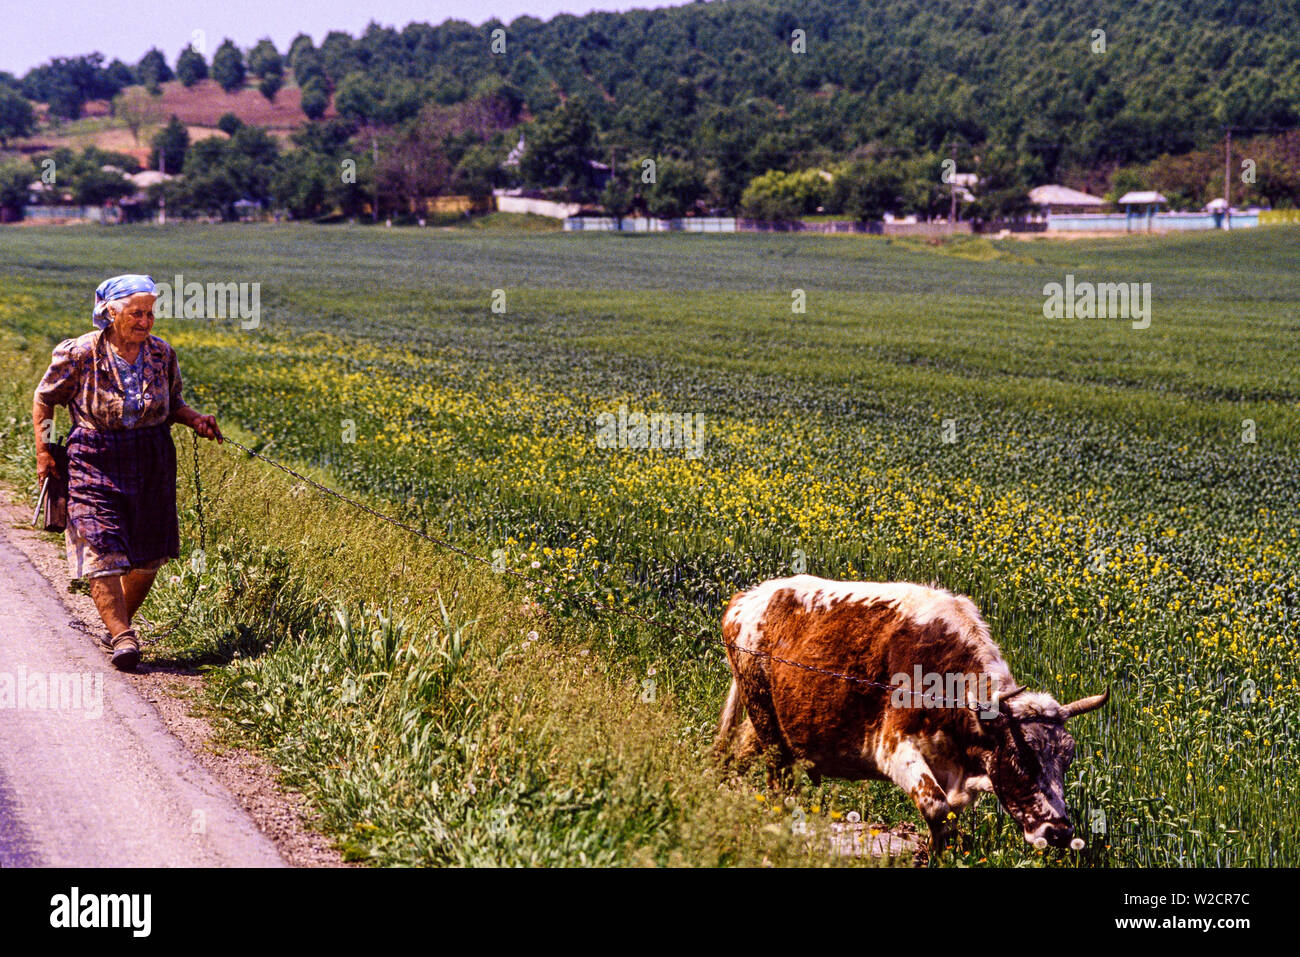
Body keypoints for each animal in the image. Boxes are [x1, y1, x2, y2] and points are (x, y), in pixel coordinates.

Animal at [712, 574, 1107, 852]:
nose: (1060, 832)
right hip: (763, 715)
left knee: (738, 753)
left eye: (1066, 761)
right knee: (777, 782)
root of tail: (748, 597)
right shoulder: (892, 746)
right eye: (1022, 760)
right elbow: (937, 809)